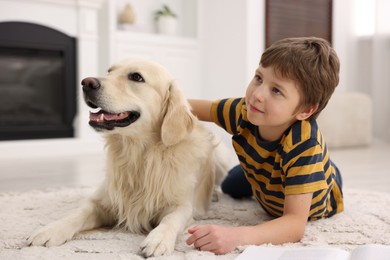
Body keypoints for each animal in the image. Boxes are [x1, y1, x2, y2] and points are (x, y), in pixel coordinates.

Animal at [27, 57, 229, 258]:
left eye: (136, 77)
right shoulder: (102, 201)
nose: (86, 83)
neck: (139, 155)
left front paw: (158, 240)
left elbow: (171, 219)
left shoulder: (182, 205)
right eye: (109, 71)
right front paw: (50, 230)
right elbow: (77, 213)